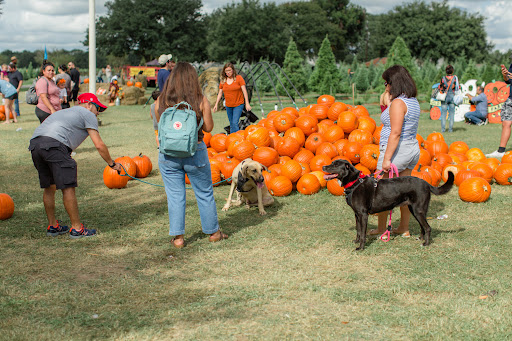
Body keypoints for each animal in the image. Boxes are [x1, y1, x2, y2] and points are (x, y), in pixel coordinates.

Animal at [322, 159, 454, 250]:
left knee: (427, 227)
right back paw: (420, 239)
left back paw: (425, 244)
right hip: (415, 209)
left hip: (418, 210)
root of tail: (426, 183)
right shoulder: (357, 214)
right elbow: (358, 230)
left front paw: (361, 247)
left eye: (335, 165)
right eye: (332, 162)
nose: (323, 166)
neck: (355, 182)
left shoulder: (363, 214)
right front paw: (356, 241)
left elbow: (363, 233)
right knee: (422, 226)